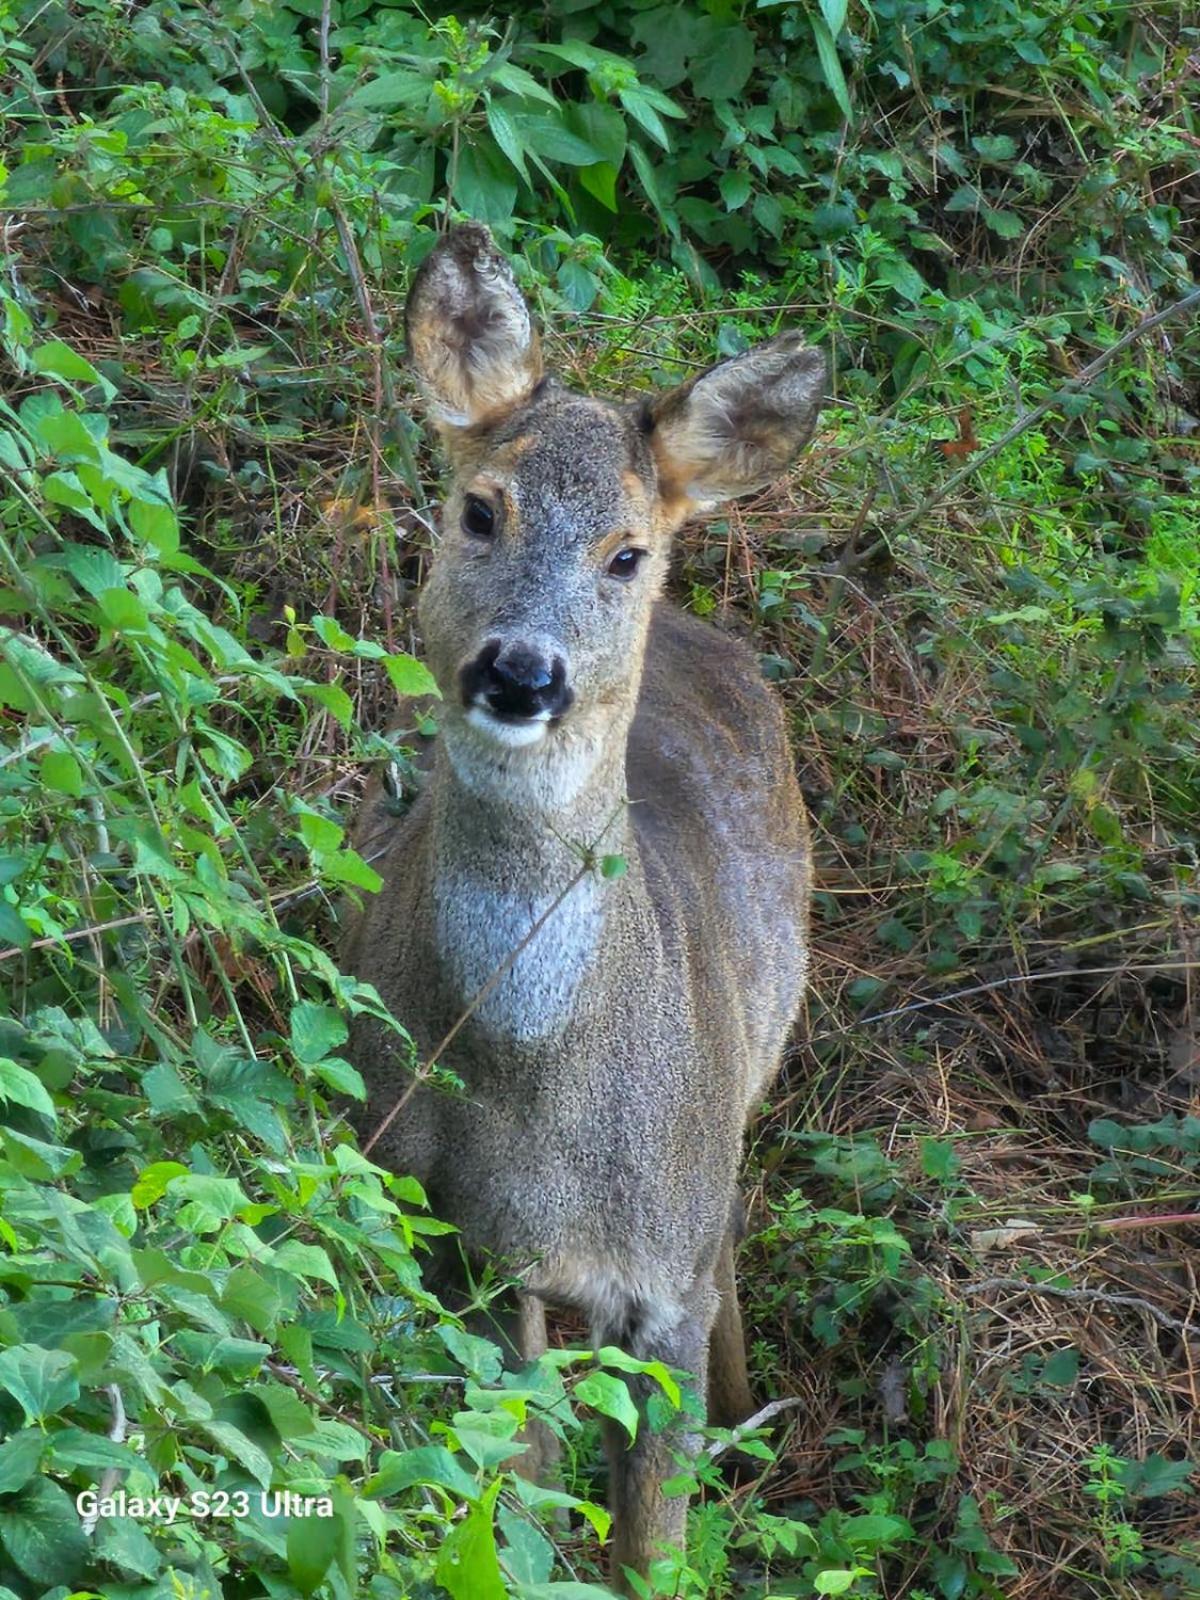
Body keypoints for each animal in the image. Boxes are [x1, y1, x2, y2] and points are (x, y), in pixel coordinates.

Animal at [342, 222, 825, 1587]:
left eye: (626, 552)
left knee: (734, 1227)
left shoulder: (659, 1282)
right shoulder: (455, 1242)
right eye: (478, 508)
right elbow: (519, 1492)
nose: (522, 671)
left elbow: (649, 1545)